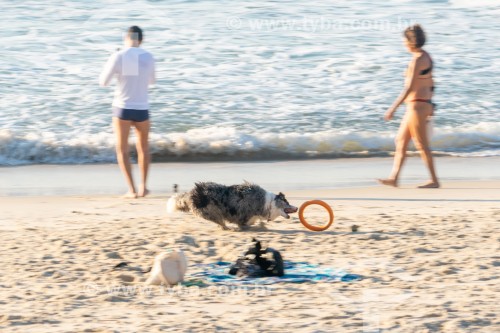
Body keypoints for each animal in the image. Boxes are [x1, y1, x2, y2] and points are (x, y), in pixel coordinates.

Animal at [166, 180, 296, 230]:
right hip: (212, 211)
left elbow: (257, 222)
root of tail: (191, 193)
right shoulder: (243, 216)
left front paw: (261, 225)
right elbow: (247, 223)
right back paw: (227, 228)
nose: (296, 207)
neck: (269, 203)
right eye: (287, 202)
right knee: (220, 221)